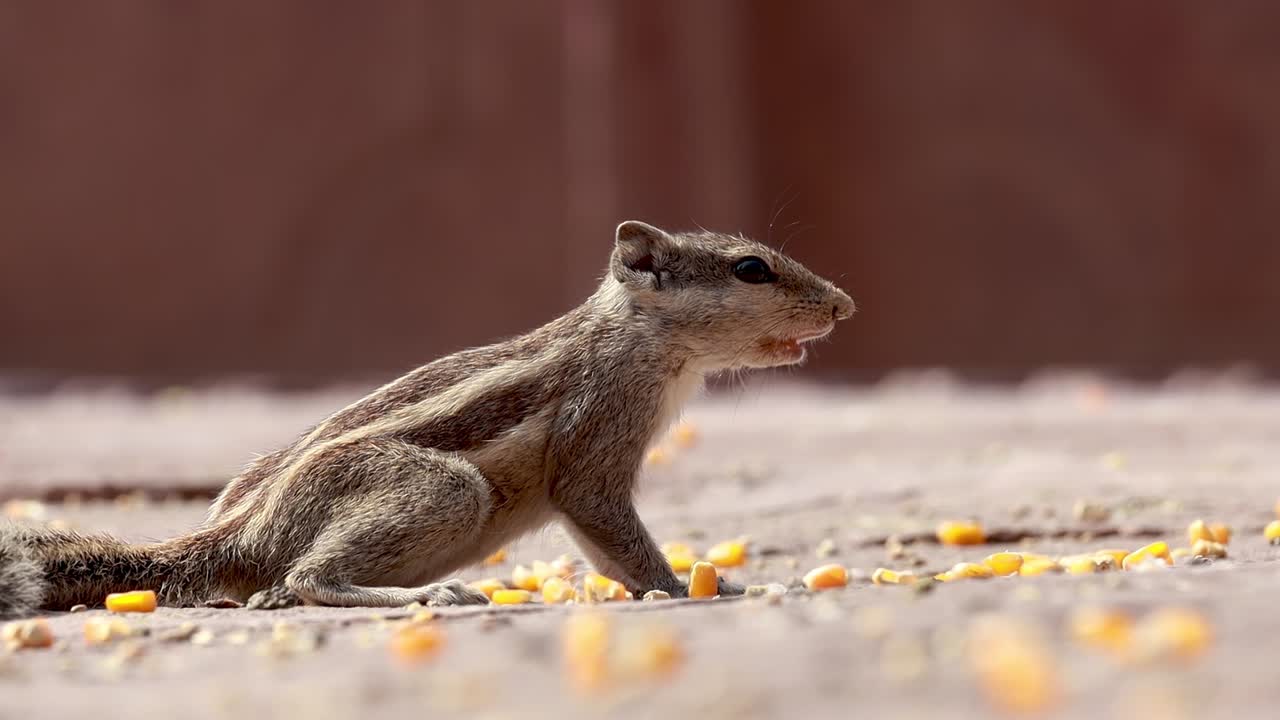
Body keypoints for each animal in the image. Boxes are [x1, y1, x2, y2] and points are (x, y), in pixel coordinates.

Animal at [0, 221, 854, 617]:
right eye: (752, 269)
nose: (844, 306)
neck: (636, 338)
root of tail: (239, 536)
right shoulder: (597, 440)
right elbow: (612, 530)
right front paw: (681, 587)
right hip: (444, 489)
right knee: (306, 579)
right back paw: (420, 599)